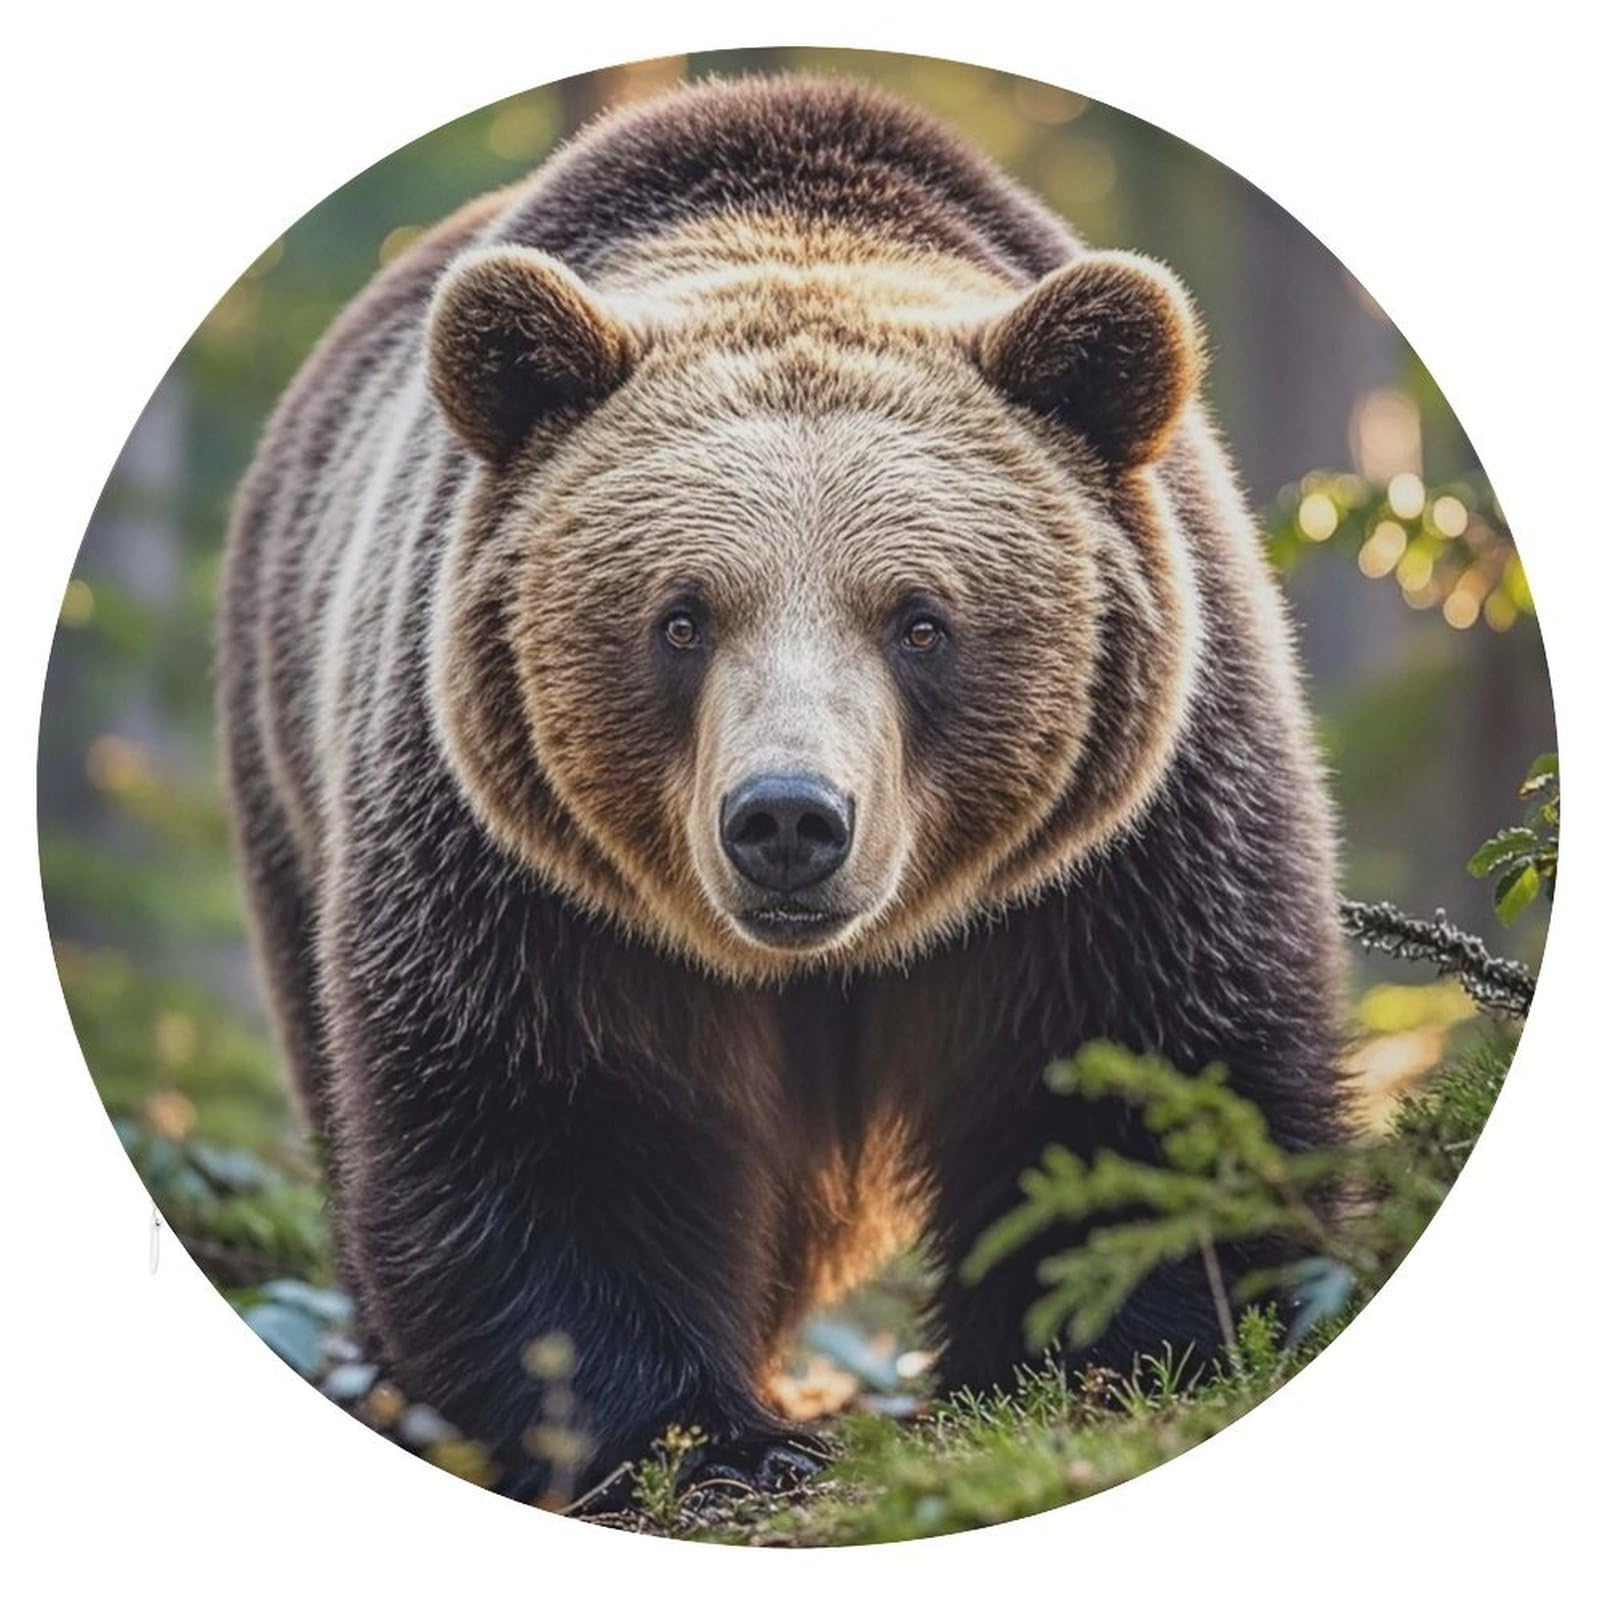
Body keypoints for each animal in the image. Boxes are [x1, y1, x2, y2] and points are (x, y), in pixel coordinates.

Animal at [219, 75, 1348, 1501]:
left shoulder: (1124, 843)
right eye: (681, 617)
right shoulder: (518, 873)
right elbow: (555, 1119)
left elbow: (1142, 1077)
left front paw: (1103, 1354)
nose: (789, 821)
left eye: (920, 620)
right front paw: (705, 1435)